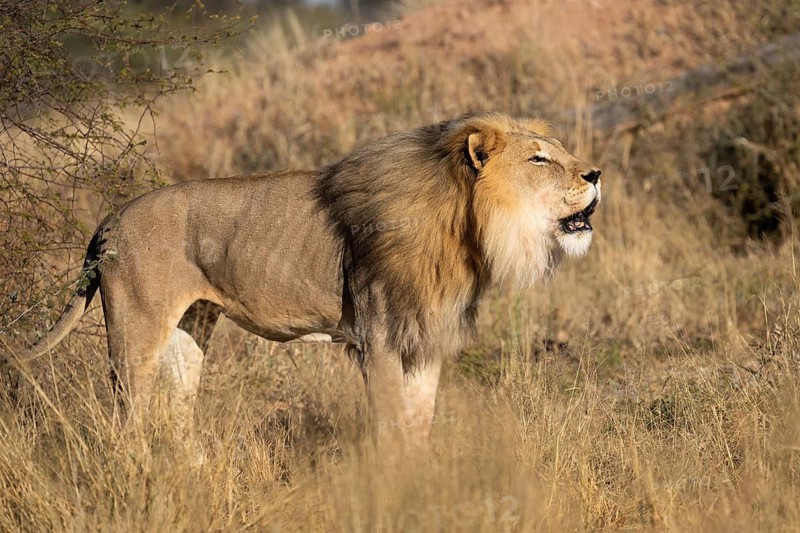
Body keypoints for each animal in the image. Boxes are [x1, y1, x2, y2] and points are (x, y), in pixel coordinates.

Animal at [20, 112, 601, 451]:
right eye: (540, 159)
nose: (596, 175)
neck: (466, 228)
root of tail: (112, 216)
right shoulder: (378, 338)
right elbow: (391, 424)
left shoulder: (423, 340)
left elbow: (420, 421)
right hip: (134, 331)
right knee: (128, 413)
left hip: (190, 329)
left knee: (176, 408)